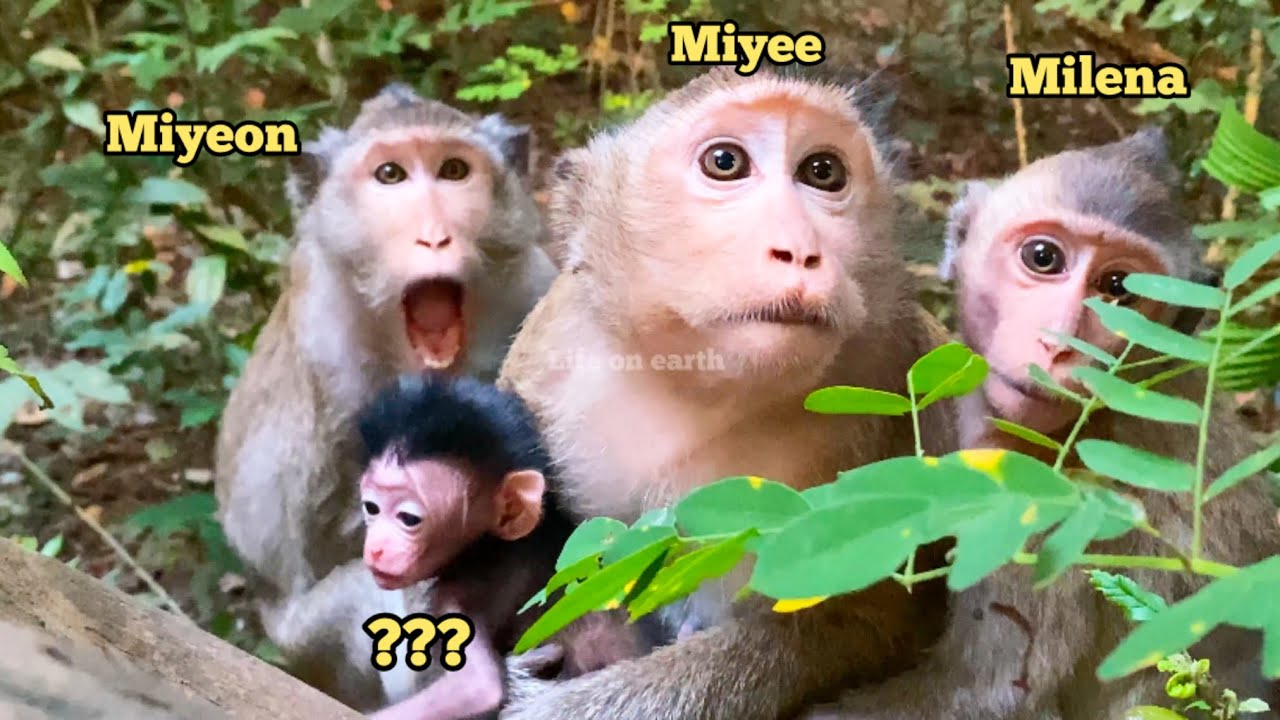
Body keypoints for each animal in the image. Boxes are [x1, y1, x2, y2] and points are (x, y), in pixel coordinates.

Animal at [213, 83, 558, 712]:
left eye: (453, 171)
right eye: (390, 175)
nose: (435, 235)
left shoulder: (533, 286)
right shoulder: (330, 354)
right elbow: (340, 533)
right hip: (314, 643)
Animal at [356, 372, 650, 720]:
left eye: (409, 518)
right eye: (371, 508)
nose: (376, 548)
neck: (496, 544)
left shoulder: (457, 591)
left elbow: (477, 688)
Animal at [492, 67, 960, 720]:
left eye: (823, 171)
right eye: (725, 162)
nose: (799, 250)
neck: (700, 386)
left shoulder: (880, 392)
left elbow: (846, 628)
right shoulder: (550, 351)